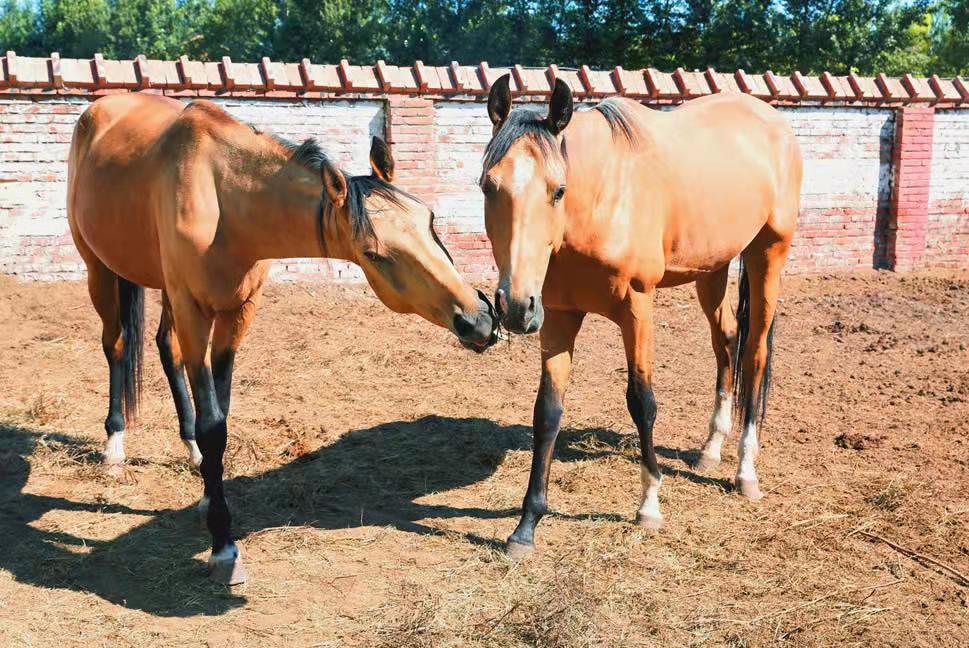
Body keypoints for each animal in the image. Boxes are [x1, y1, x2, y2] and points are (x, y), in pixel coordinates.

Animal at [66, 92, 500, 584]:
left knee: (164, 348)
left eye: (431, 220)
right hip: (100, 270)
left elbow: (219, 413)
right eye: (374, 254)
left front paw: (209, 490)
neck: (223, 199)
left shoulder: (238, 313)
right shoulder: (196, 311)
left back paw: (190, 452)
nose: (478, 319)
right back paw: (114, 448)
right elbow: (214, 423)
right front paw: (223, 546)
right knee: (118, 346)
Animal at [480, 77, 796, 556]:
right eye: (487, 186)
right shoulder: (558, 317)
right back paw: (710, 449)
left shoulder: (637, 308)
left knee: (754, 354)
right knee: (726, 342)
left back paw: (745, 472)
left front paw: (649, 507)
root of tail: (773, 121)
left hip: (768, 256)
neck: (600, 200)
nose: (515, 306)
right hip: (713, 268)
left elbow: (642, 402)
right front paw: (526, 526)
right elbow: (547, 412)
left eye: (558, 190)